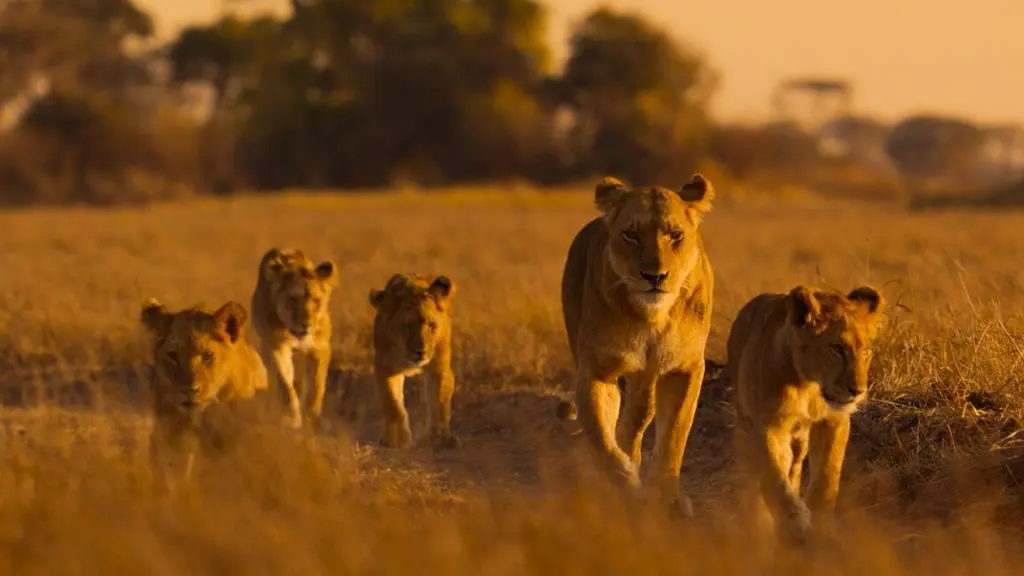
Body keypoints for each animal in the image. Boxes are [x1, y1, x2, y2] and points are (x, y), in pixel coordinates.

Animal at [250, 248, 339, 430]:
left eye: (316, 300)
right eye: (293, 299)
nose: (307, 325)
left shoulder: (320, 348)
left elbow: (317, 384)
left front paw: (313, 416)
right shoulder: (276, 347)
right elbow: (285, 384)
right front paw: (291, 417)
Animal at [369, 273, 459, 450]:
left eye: (432, 325)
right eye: (408, 327)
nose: (421, 351)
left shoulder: (439, 367)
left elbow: (439, 398)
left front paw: (440, 437)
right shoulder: (385, 368)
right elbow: (393, 404)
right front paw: (399, 440)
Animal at [560, 173, 716, 515]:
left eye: (675, 235)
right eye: (631, 234)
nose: (654, 276)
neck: (651, 317)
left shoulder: (684, 368)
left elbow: (674, 435)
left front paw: (668, 496)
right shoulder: (596, 371)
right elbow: (601, 436)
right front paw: (627, 481)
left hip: (648, 376)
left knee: (640, 413)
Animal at [727, 285, 886, 544]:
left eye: (866, 351)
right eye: (837, 349)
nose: (857, 391)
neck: (809, 385)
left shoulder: (833, 421)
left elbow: (827, 476)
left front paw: (820, 523)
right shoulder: (770, 425)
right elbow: (774, 476)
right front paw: (794, 522)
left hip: (800, 439)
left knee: (795, 466)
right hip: (746, 422)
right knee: (757, 474)